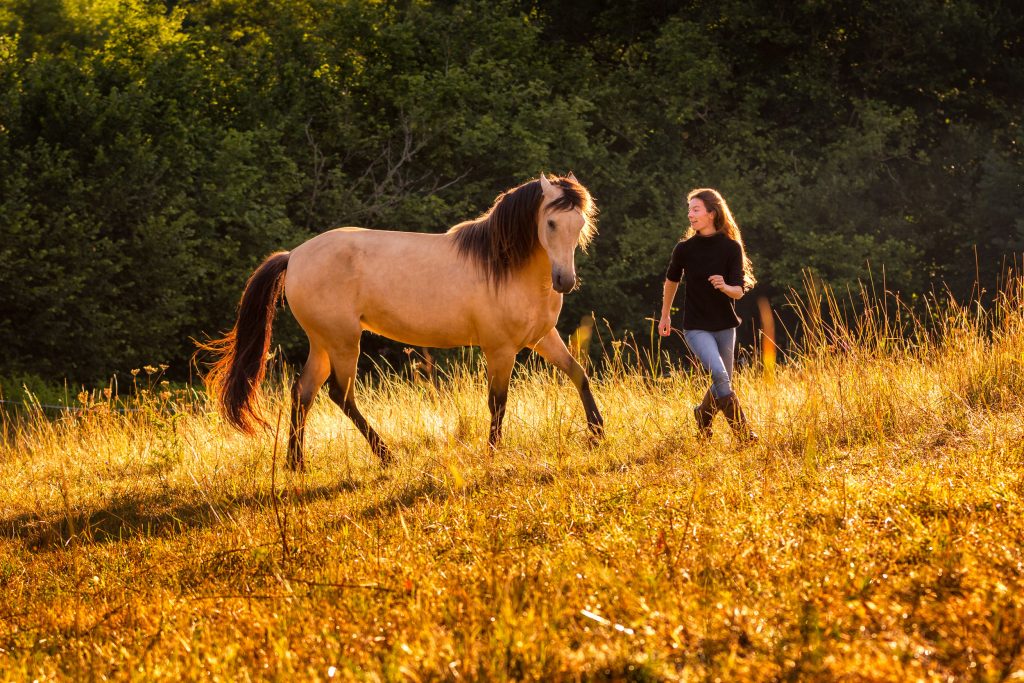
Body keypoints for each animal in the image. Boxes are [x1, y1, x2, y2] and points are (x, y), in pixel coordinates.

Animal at [200, 173, 604, 470]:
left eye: (580, 222)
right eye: (550, 223)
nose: (564, 281)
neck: (504, 266)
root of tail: (294, 256)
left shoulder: (542, 337)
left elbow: (578, 374)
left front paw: (598, 433)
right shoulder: (500, 349)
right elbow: (498, 402)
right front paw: (493, 452)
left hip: (323, 343)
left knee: (303, 392)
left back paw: (297, 464)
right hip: (344, 341)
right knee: (340, 394)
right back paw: (385, 455)